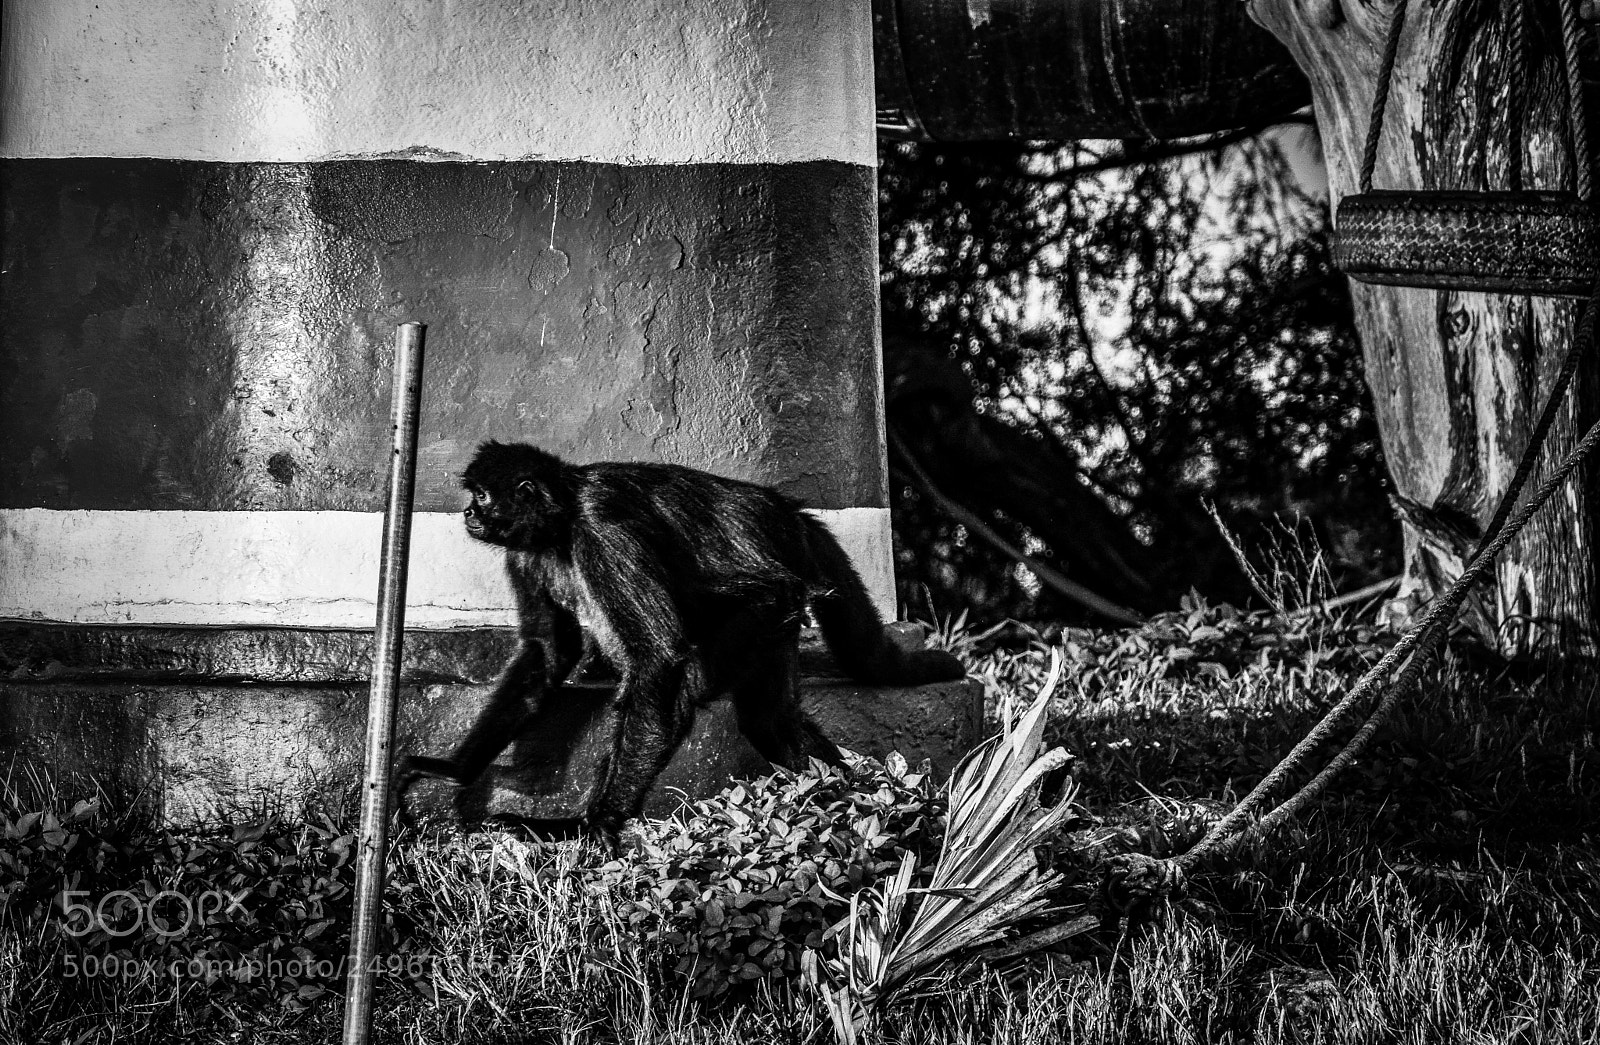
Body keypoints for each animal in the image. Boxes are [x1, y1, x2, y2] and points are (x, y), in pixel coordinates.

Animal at [396, 441, 966, 848]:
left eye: (483, 496)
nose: (468, 513)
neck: (562, 522)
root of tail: (787, 514)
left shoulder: (604, 534)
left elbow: (658, 658)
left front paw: (594, 827)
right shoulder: (525, 554)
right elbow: (546, 655)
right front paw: (455, 770)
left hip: (768, 602)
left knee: (685, 684)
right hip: (778, 615)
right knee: (771, 718)